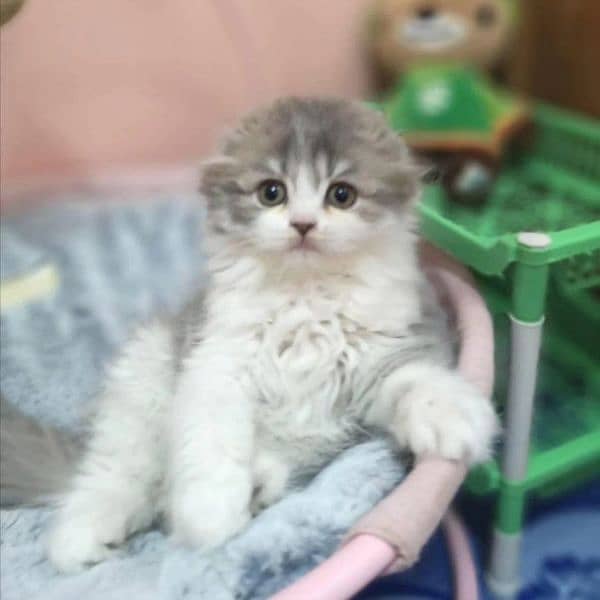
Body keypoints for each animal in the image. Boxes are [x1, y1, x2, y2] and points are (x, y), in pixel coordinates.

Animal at [0, 97, 496, 572]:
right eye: (271, 193)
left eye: (342, 195)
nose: (302, 224)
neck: (305, 300)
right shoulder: (217, 362)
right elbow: (212, 444)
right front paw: (211, 517)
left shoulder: (382, 355)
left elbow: (416, 382)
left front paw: (458, 420)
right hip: (142, 389)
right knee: (115, 478)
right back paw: (81, 539)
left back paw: (255, 486)